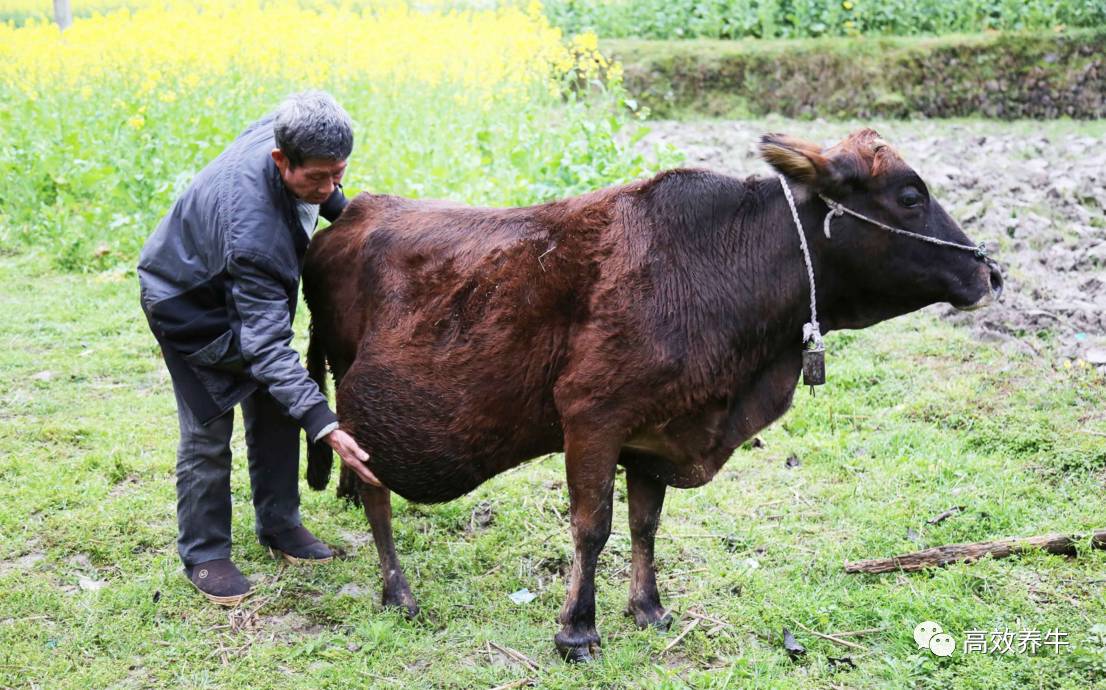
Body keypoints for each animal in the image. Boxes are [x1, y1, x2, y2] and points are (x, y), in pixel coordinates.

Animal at [300, 129, 1004, 663]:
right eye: (910, 195)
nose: (989, 271)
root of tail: (351, 214)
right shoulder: (591, 417)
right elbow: (592, 527)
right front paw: (577, 631)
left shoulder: (655, 433)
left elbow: (645, 523)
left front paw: (649, 608)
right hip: (357, 401)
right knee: (375, 494)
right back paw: (398, 592)